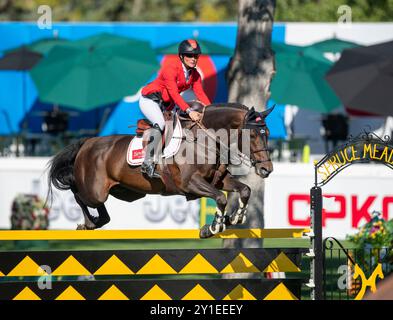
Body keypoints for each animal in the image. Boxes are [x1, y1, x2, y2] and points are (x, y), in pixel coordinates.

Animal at [46, 102, 272, 238]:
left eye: (267, 133)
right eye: (252, 135)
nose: (266, 169)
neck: (204, 140)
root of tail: (87, 142)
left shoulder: (218, 180)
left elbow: (244, 190)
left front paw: (235, 218)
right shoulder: (191, 183)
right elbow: (221, 198)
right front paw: (213, 227)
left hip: (123, 191)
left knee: (101, 211)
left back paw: (95, 221)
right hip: (95, 191)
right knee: (78, 194)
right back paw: (88, 223)